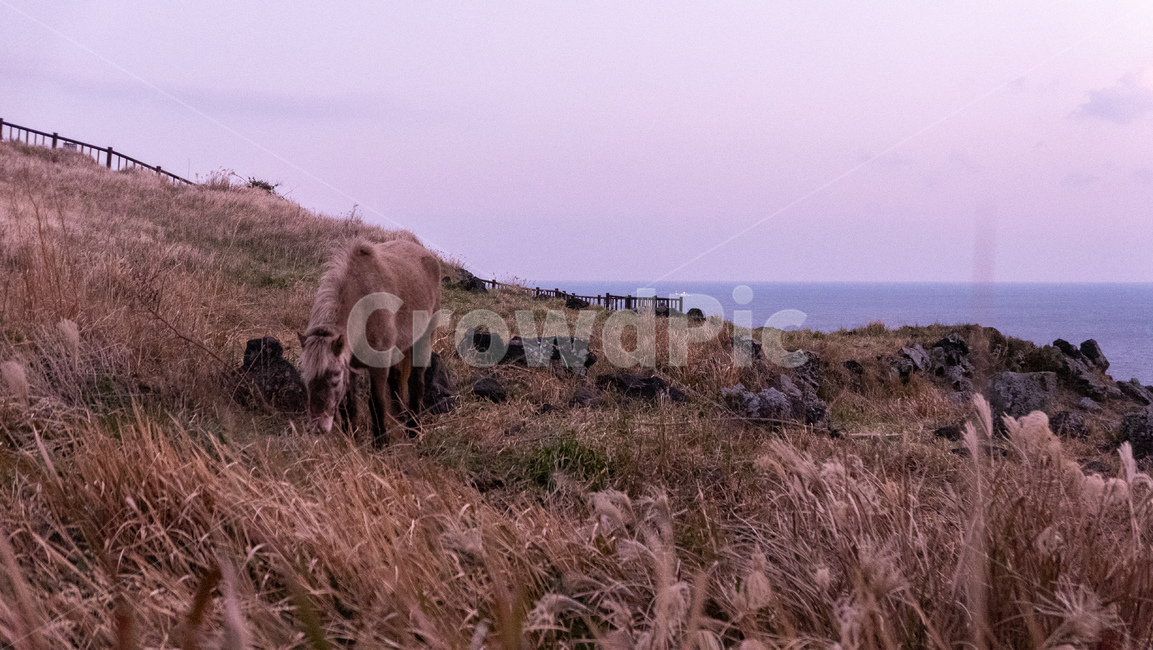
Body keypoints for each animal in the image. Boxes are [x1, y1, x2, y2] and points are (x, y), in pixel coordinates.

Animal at [299, 235, 441, 446]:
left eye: (334, 375)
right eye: (305, 376)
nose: (318, 427)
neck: (363, 305)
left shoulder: (378, 365)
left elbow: (376, 402)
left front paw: (381, 443)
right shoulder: (350, 366)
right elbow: (348, 405)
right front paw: (351, 438)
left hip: (423, 340)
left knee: (416, 382)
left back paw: (414, 430)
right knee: (396, 378)